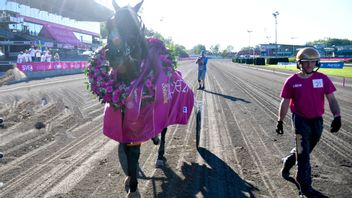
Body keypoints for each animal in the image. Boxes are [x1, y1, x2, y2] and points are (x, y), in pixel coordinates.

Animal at [86, 0, 194, 197]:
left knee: (164, 132)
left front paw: (134, 187)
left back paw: (160, 155)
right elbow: (126, 149)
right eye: (109, 23)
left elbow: (134, 152)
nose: (114, 53)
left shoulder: (138, 121)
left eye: (134, 25)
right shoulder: (122, 121)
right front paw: (130, 178)